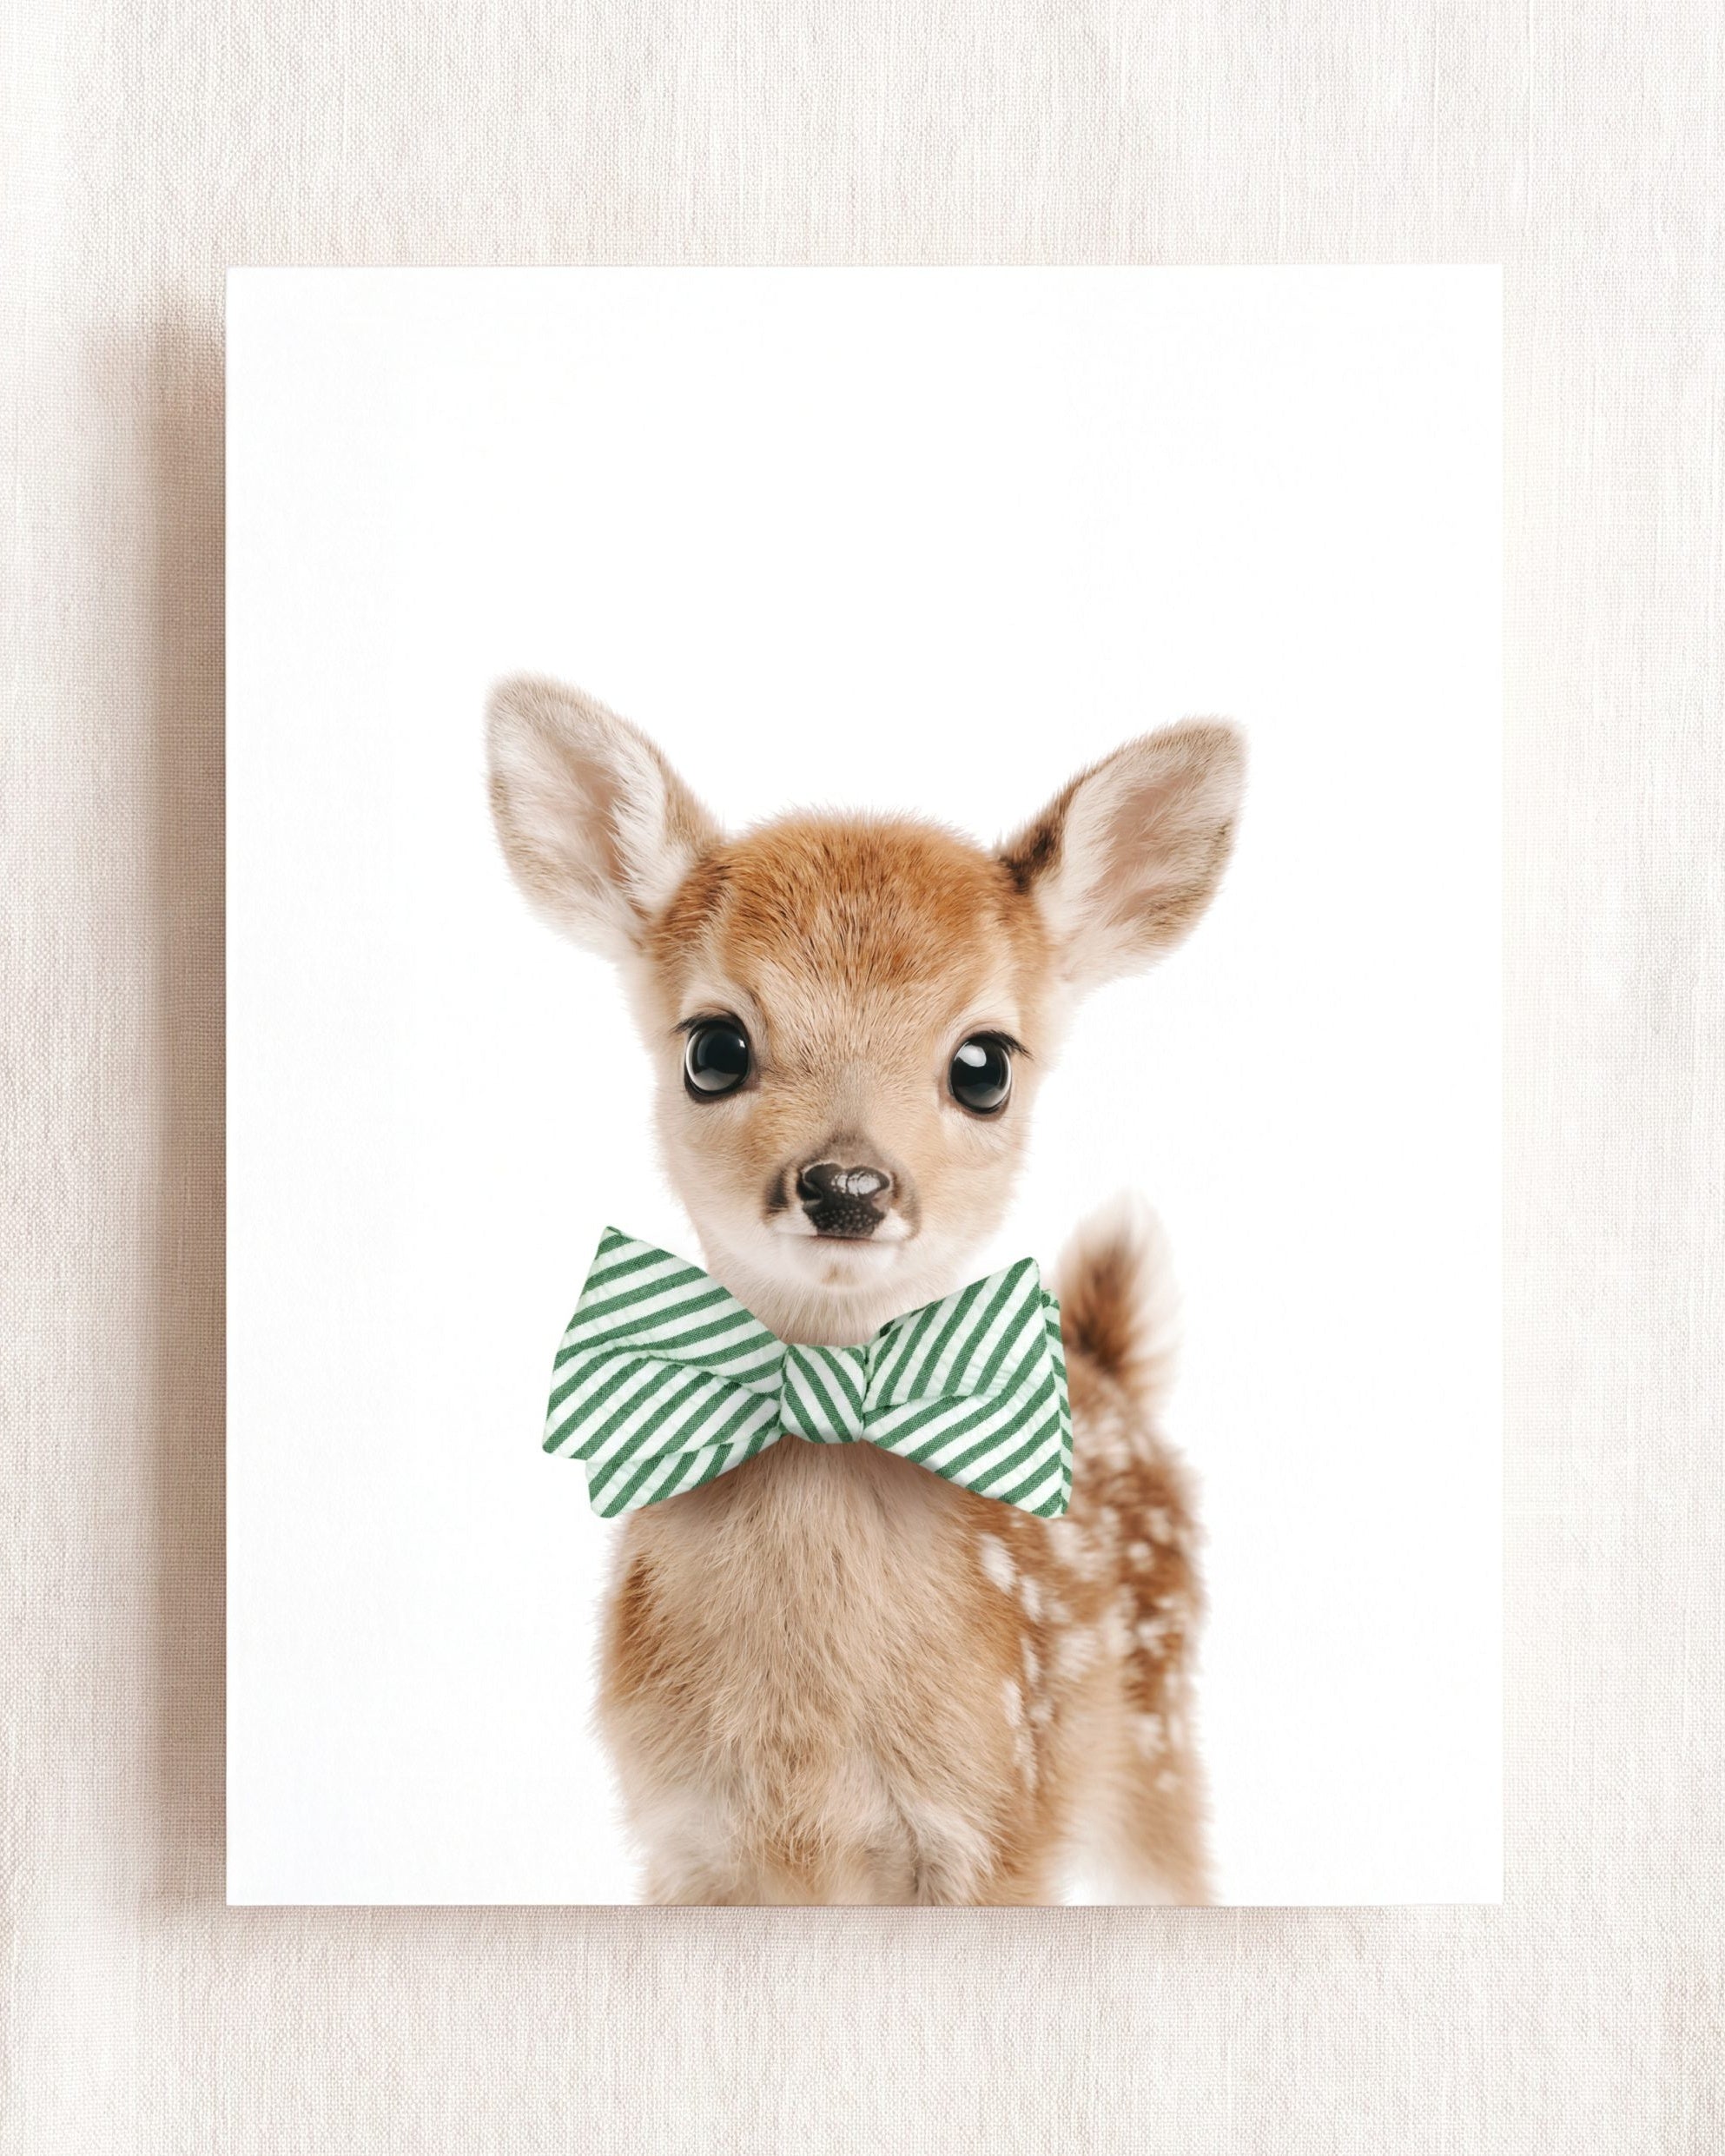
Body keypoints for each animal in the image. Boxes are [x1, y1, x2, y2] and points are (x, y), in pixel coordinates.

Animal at [487, 675, 1244, 1904]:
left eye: (985, 1064)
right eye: (714, 1047)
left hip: (1155, 1749)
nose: (846, 1184)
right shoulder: (681, 1838)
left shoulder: (998, 1824)